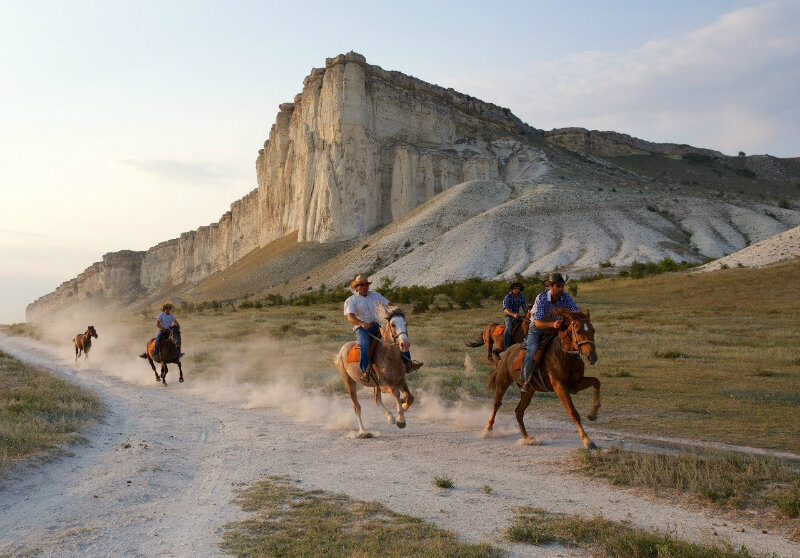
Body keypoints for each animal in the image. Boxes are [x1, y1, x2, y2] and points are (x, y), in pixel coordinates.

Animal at [334, 308, 416, 440]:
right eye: (393, 325)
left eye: (405, 323)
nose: (405, 344)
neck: (388, 355)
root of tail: (342, 350)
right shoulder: (385, 385)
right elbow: (396, 393)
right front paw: (401, 420)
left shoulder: (401, 380)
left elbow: (410, 397)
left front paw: (403, 407)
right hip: (349, 381)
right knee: (357, 407)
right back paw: (363, 432)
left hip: (374, 384)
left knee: (376, 399)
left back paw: (390, 417)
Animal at [482, 310, 600, 450]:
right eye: (578, 331)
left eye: (593, 330)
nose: (591, 357)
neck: (564, 354)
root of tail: (507, 353)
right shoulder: (559, 386)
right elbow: (573, 412)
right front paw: (588, 440)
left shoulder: (574, 384)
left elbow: (596, 382)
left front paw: (592, 414)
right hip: (502, 382)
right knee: (497, 404)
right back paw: (487, 430)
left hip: (527, 391)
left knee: (518, 411)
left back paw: (527, 438)